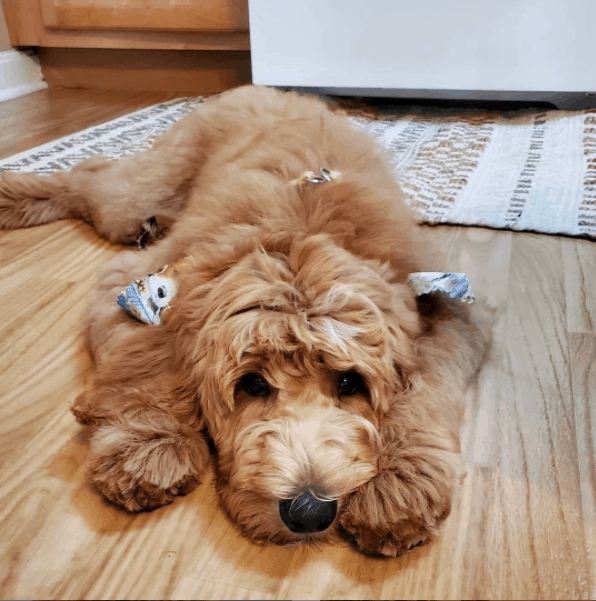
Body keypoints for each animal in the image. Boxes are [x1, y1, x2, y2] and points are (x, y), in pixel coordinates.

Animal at [0, 85, 488, 556]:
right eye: (252, 384)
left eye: (350, 383)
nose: (309, 511)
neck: (298, 235)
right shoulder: (138, 287)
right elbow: (144, 366)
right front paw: (149, 445)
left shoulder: (446, 308)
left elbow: (426, 390)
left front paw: (400, 482)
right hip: (141, 192)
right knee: (90, 176)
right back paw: (15, 195)